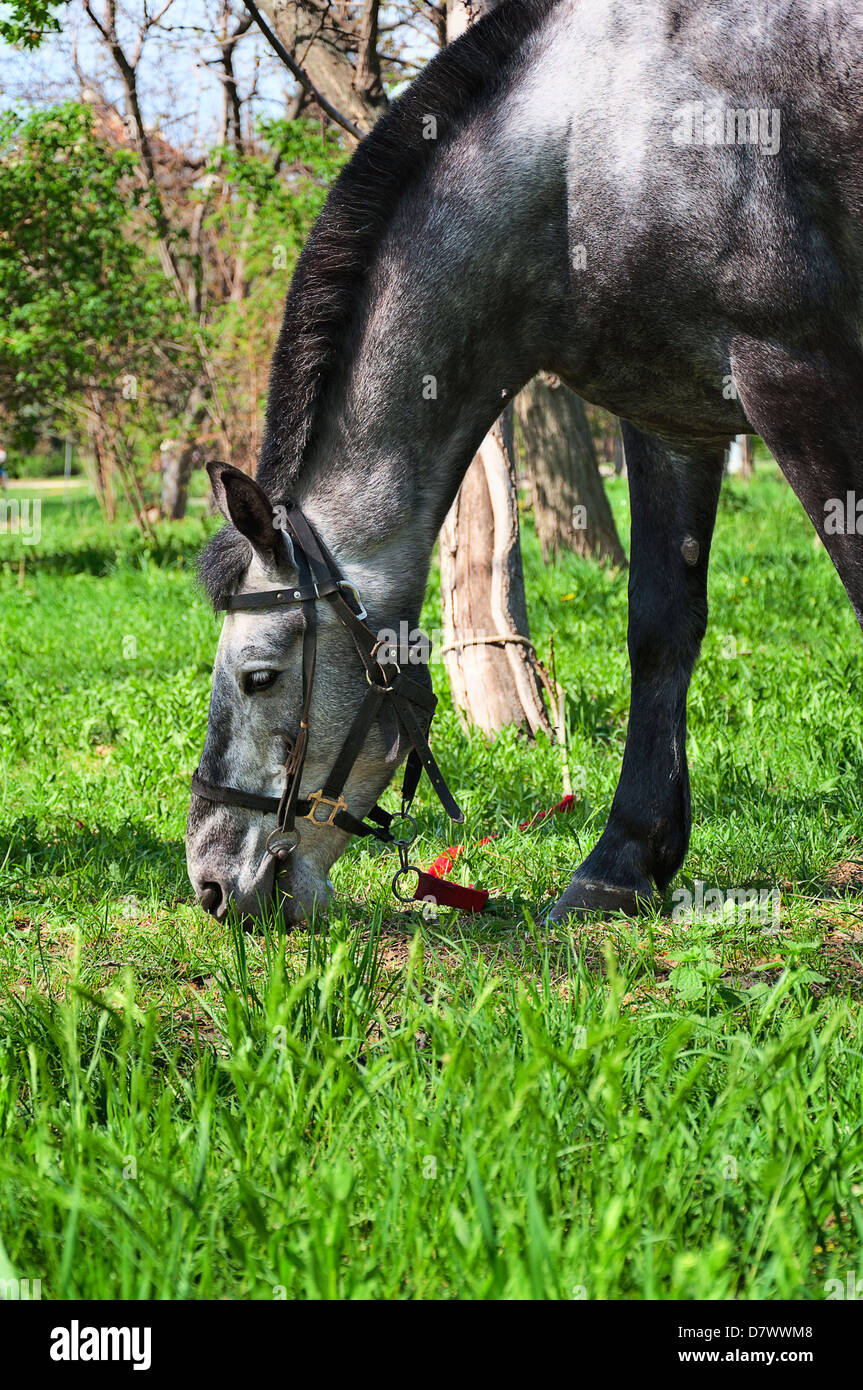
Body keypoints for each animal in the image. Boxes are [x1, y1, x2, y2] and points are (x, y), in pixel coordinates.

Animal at [186, 0, 863, 926]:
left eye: (258, 677)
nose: (211, 883)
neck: (592, 147)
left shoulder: (797, 381)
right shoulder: (670, 420)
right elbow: (659, 631)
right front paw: (618, 864)